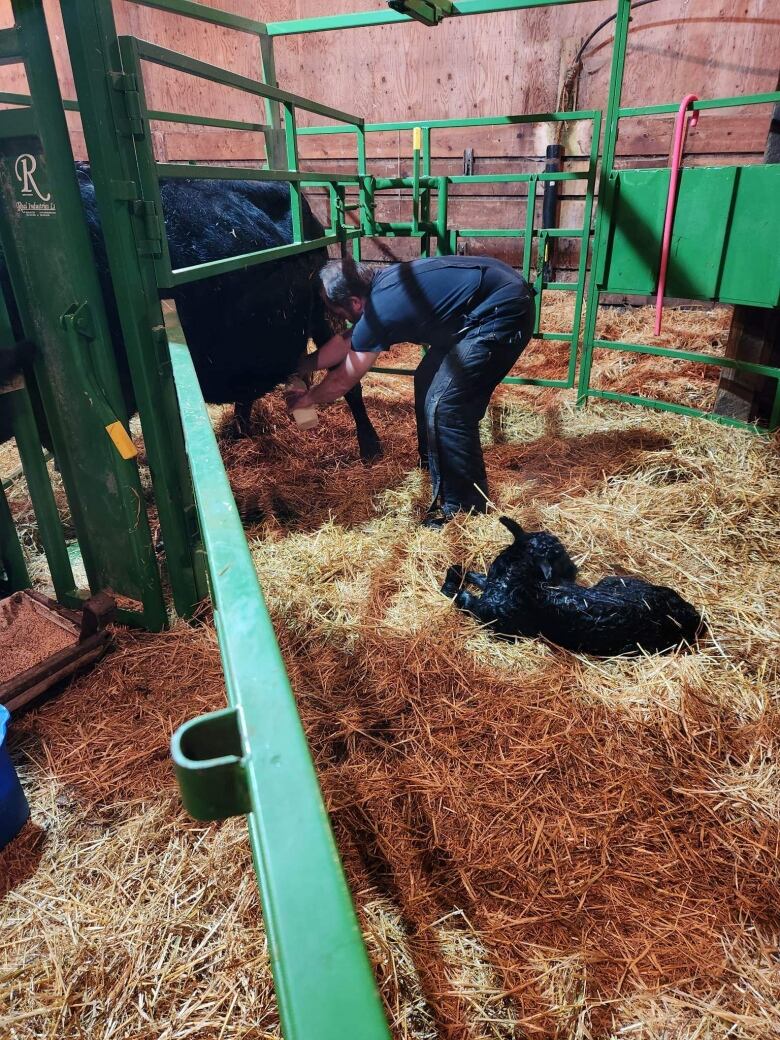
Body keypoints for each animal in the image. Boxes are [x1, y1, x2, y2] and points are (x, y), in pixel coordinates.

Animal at [443, 515, 707, 653]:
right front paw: (455, 574)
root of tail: (691, 616)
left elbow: (462, 594)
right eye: (559, 555)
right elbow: (470, 577)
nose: (573, 571)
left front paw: (452, 583)